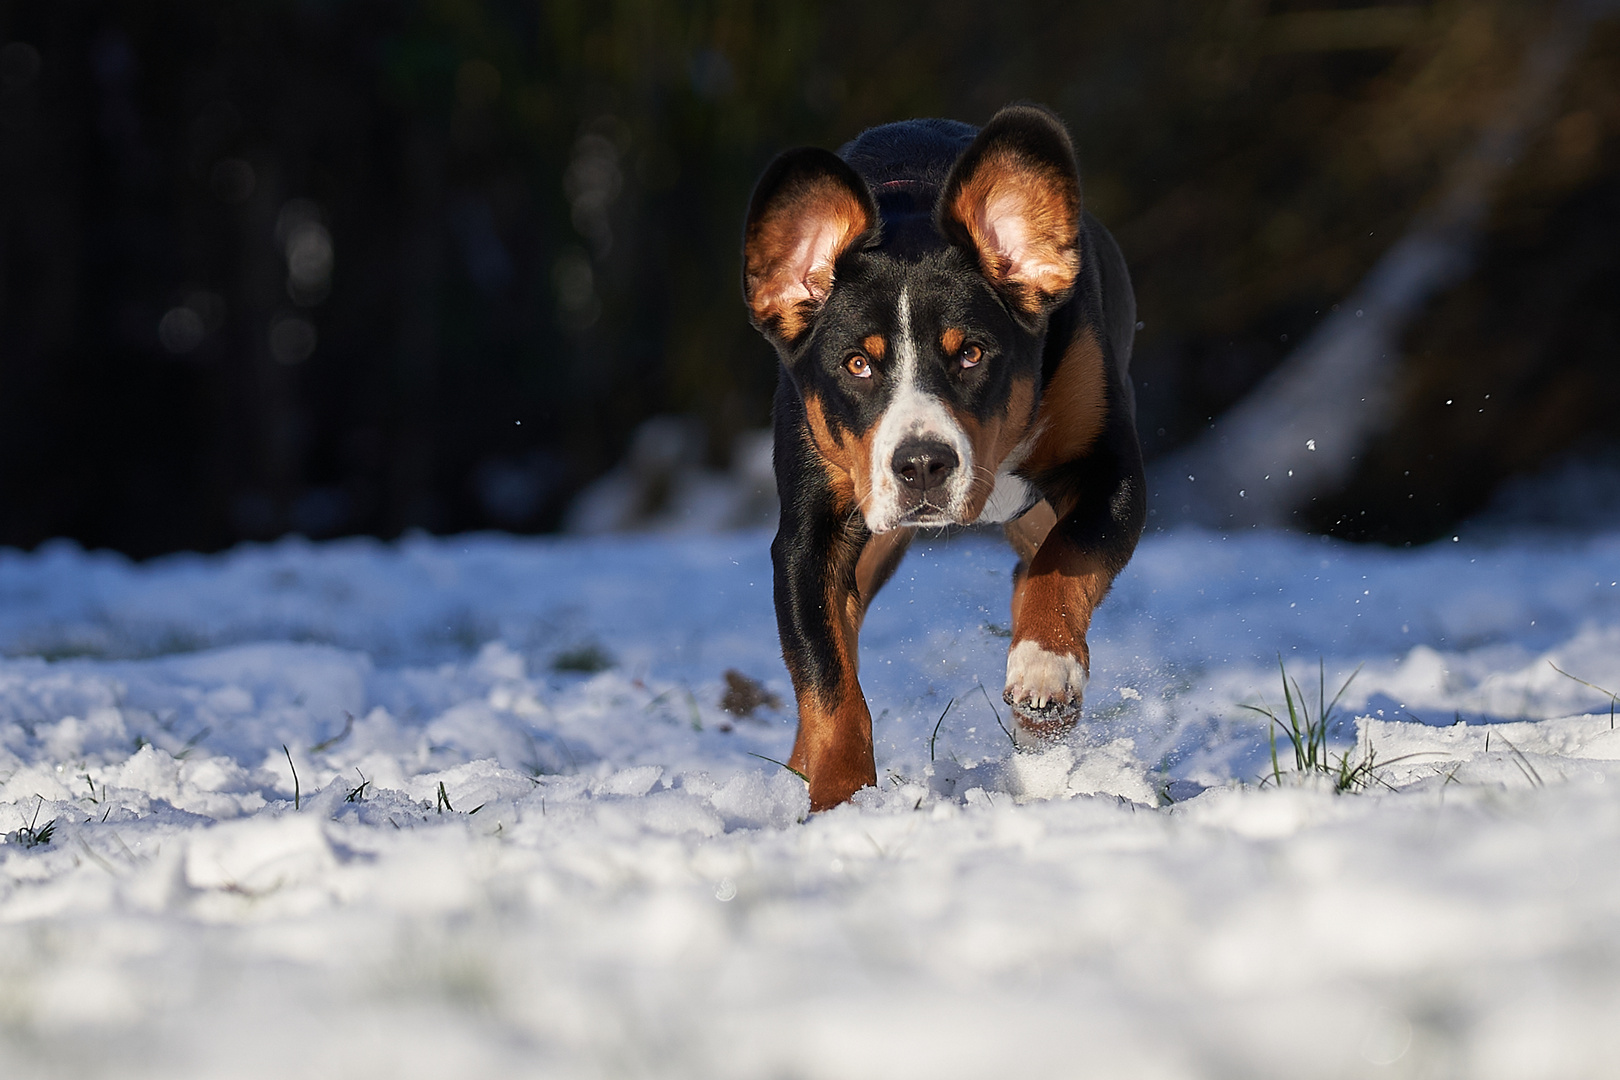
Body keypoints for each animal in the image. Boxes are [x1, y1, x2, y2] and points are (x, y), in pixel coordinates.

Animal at [741, 105, 1146, 809]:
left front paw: (1045, 667)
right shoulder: (808, 537)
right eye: (857, 363)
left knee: (1035, 563)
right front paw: (839, 800)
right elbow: (828, 683)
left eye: (972, 354)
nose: (922, 465)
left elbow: (1067, 558)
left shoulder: (1112, 471)